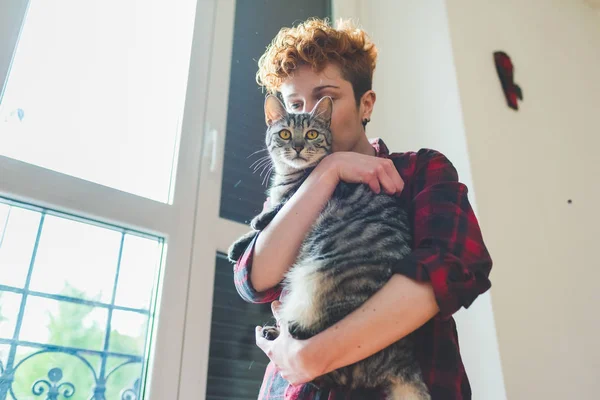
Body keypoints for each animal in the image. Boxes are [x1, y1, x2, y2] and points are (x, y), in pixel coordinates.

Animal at [230, 94, 432, 400]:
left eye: (312, 134)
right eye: (285, 134)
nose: (298, 146)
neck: (287, 176)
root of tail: (402, 358)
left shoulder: (292, 197)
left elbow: (270, 216)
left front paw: (255, 224)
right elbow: (255, 235)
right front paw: (238, 245)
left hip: (320, 280)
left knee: (322, 366)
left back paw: (285, 331)